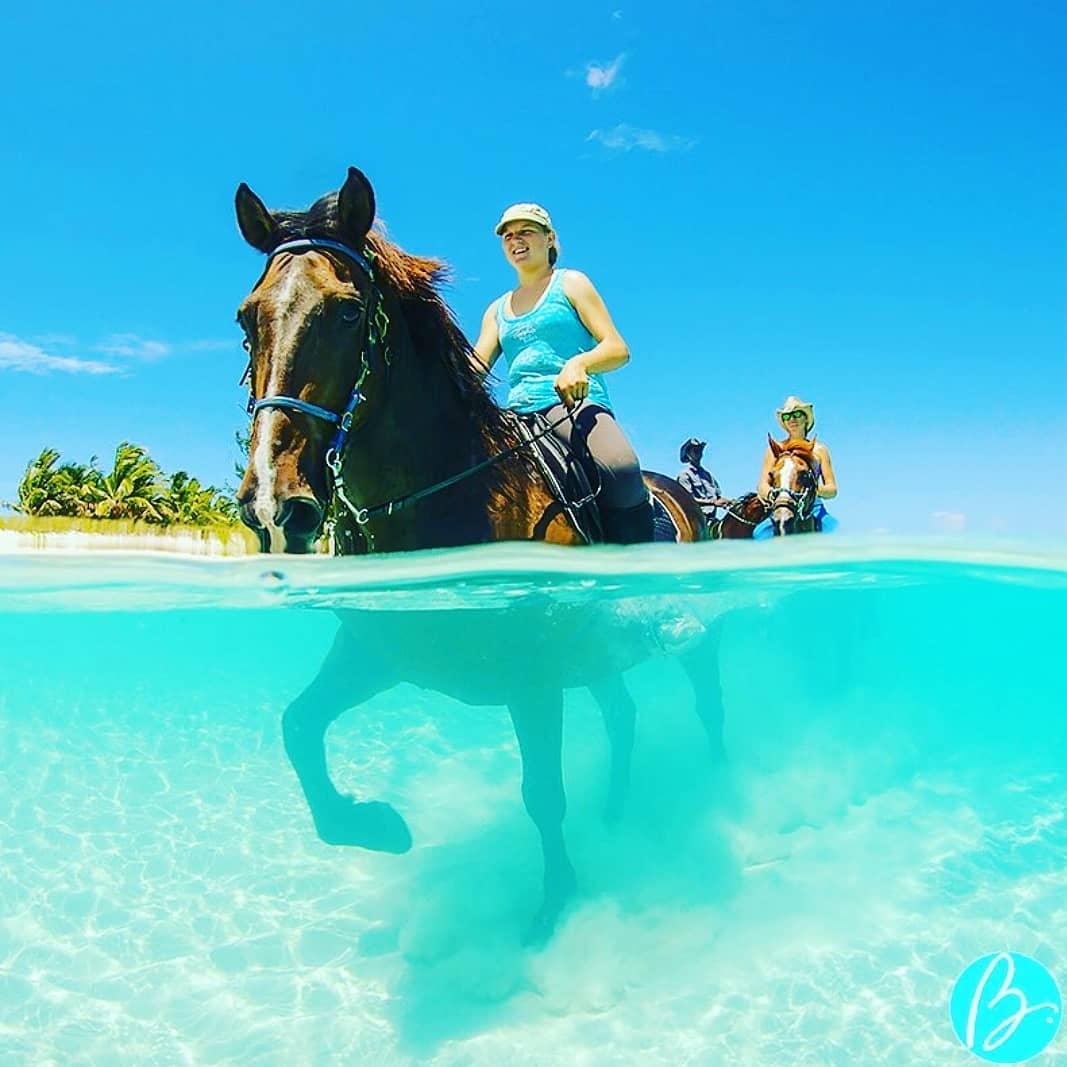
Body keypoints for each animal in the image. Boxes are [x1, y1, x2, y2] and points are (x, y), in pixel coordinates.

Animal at [232, 167, 726, 943]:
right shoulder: (376, 653)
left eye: (347, 313)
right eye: (246, 318)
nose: (272, 504)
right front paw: (376, 826)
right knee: (622, 716)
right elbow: (298, 727)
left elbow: (543, 793)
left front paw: (553, 906)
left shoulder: (534, 680)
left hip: (689, 640)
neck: (453, 491)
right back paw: (616, 812)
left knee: (707, 707)